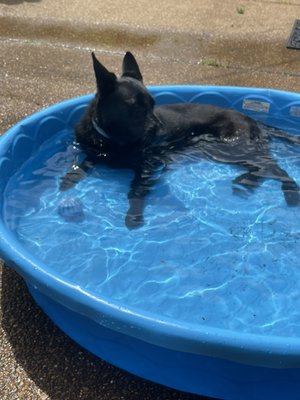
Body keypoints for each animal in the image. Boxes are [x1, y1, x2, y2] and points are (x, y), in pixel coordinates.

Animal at [61, 51, 300, 230]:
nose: (159, 129)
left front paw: (133, 216)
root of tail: (251, 118)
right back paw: (245, 183)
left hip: (229, 149)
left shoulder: (149, 166)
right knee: (262, 169)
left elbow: (135, 191)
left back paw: (290, 192)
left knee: (274, 168)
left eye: (152, 103)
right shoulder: (94, 152)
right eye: (134, 106)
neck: (112, 140)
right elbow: (84, 164)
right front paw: (69, 179)